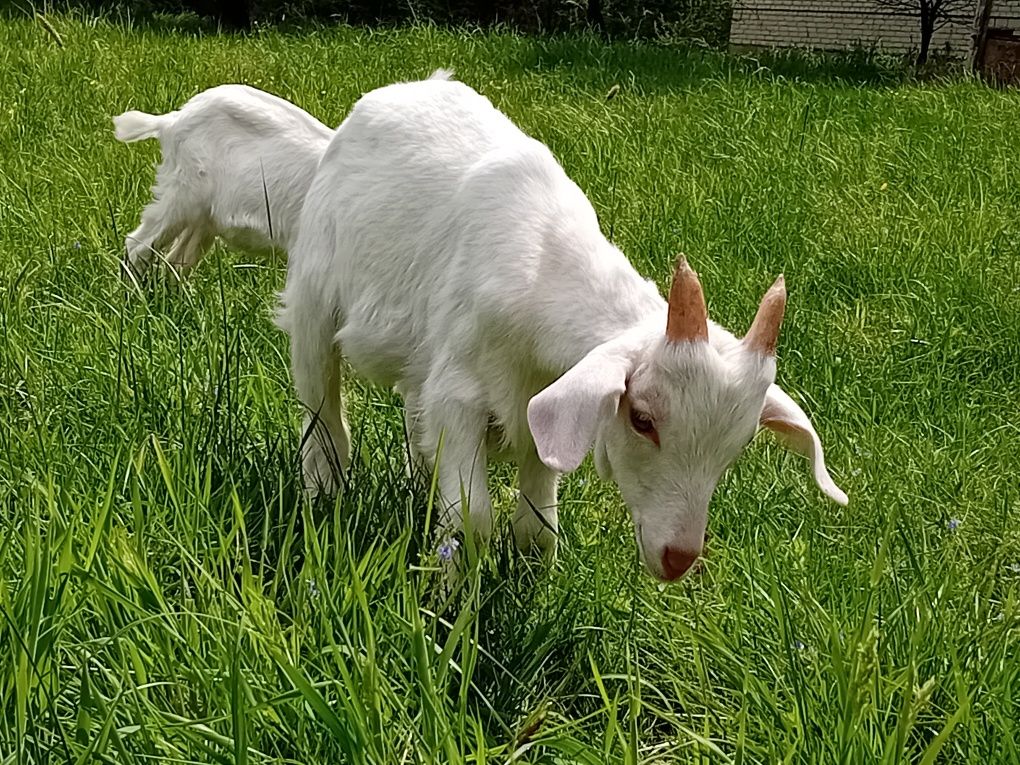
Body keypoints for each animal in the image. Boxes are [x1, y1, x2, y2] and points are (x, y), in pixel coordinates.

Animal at [275, 74, 848, 583]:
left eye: (741, 442)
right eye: (641, 419)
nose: (678, 559)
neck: (542, 267)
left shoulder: (542, 402)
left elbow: (537, 530)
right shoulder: (460, 391)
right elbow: (472, 520)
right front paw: (447, 606)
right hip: (314, 295)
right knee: (322, 407)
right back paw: (322, 494)